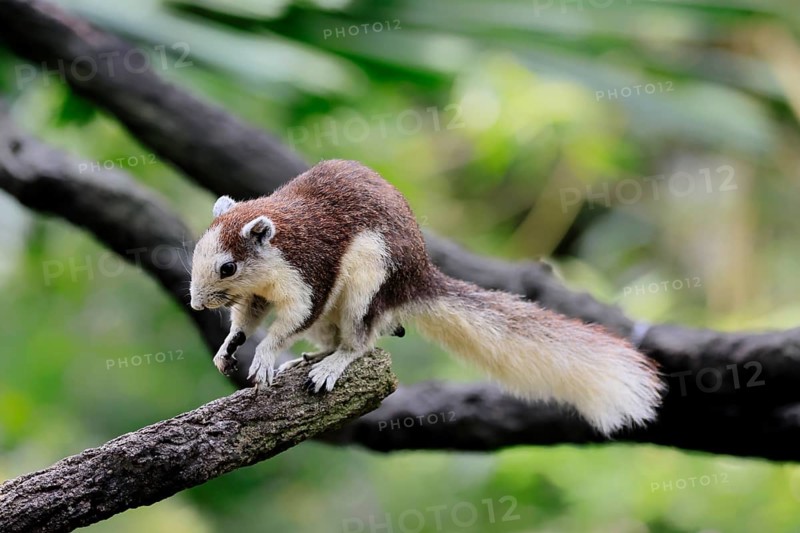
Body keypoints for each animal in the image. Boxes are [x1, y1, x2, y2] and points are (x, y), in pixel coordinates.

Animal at [190, 159, 663, 435]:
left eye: (227, 266)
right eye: (195, 251)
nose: (196, 304)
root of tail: (419, 278)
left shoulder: (310, 276)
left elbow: (290, 321)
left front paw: (265, 357)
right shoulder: (254, 296)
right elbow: (246, 320)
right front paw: (229, 348)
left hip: (368, 282)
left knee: (361, 340)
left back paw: (333, 364)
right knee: (337, 337)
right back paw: (313, 357)